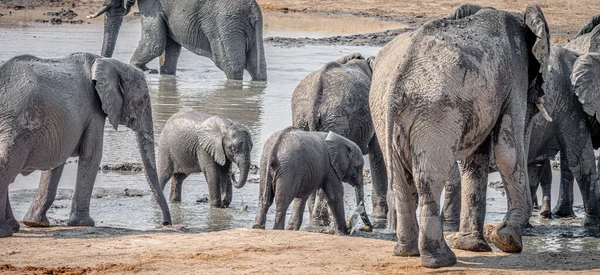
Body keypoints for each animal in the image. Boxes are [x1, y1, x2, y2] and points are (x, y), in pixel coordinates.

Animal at [0, 52, 173, 237]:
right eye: (143, 101)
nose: (166, 223)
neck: (109, 62)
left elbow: (57, 164)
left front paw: (35, 223)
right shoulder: (94, 109)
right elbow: (92, 154)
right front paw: (84, 223)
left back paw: (13, 227)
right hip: (17, 124)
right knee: (6, 165)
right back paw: (6, 231)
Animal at [89, 0, 268, 81]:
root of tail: (254, 11)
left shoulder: (152, 4)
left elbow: (154, 41)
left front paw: (143, 70)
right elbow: (170, 48)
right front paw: (161, 74)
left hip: (225, 24)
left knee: (229, 64)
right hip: (243, 28)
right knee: (256, 67)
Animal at [370, 3, 552, 268]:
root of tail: (398, 80)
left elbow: (473, 161)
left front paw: (475, 246)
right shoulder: (515, 76)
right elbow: (507, 152)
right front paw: (507, 242)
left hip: (384, 113)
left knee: (402, 179)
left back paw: (406, 252)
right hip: (437, 111)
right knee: (430, 177)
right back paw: (440, 260)